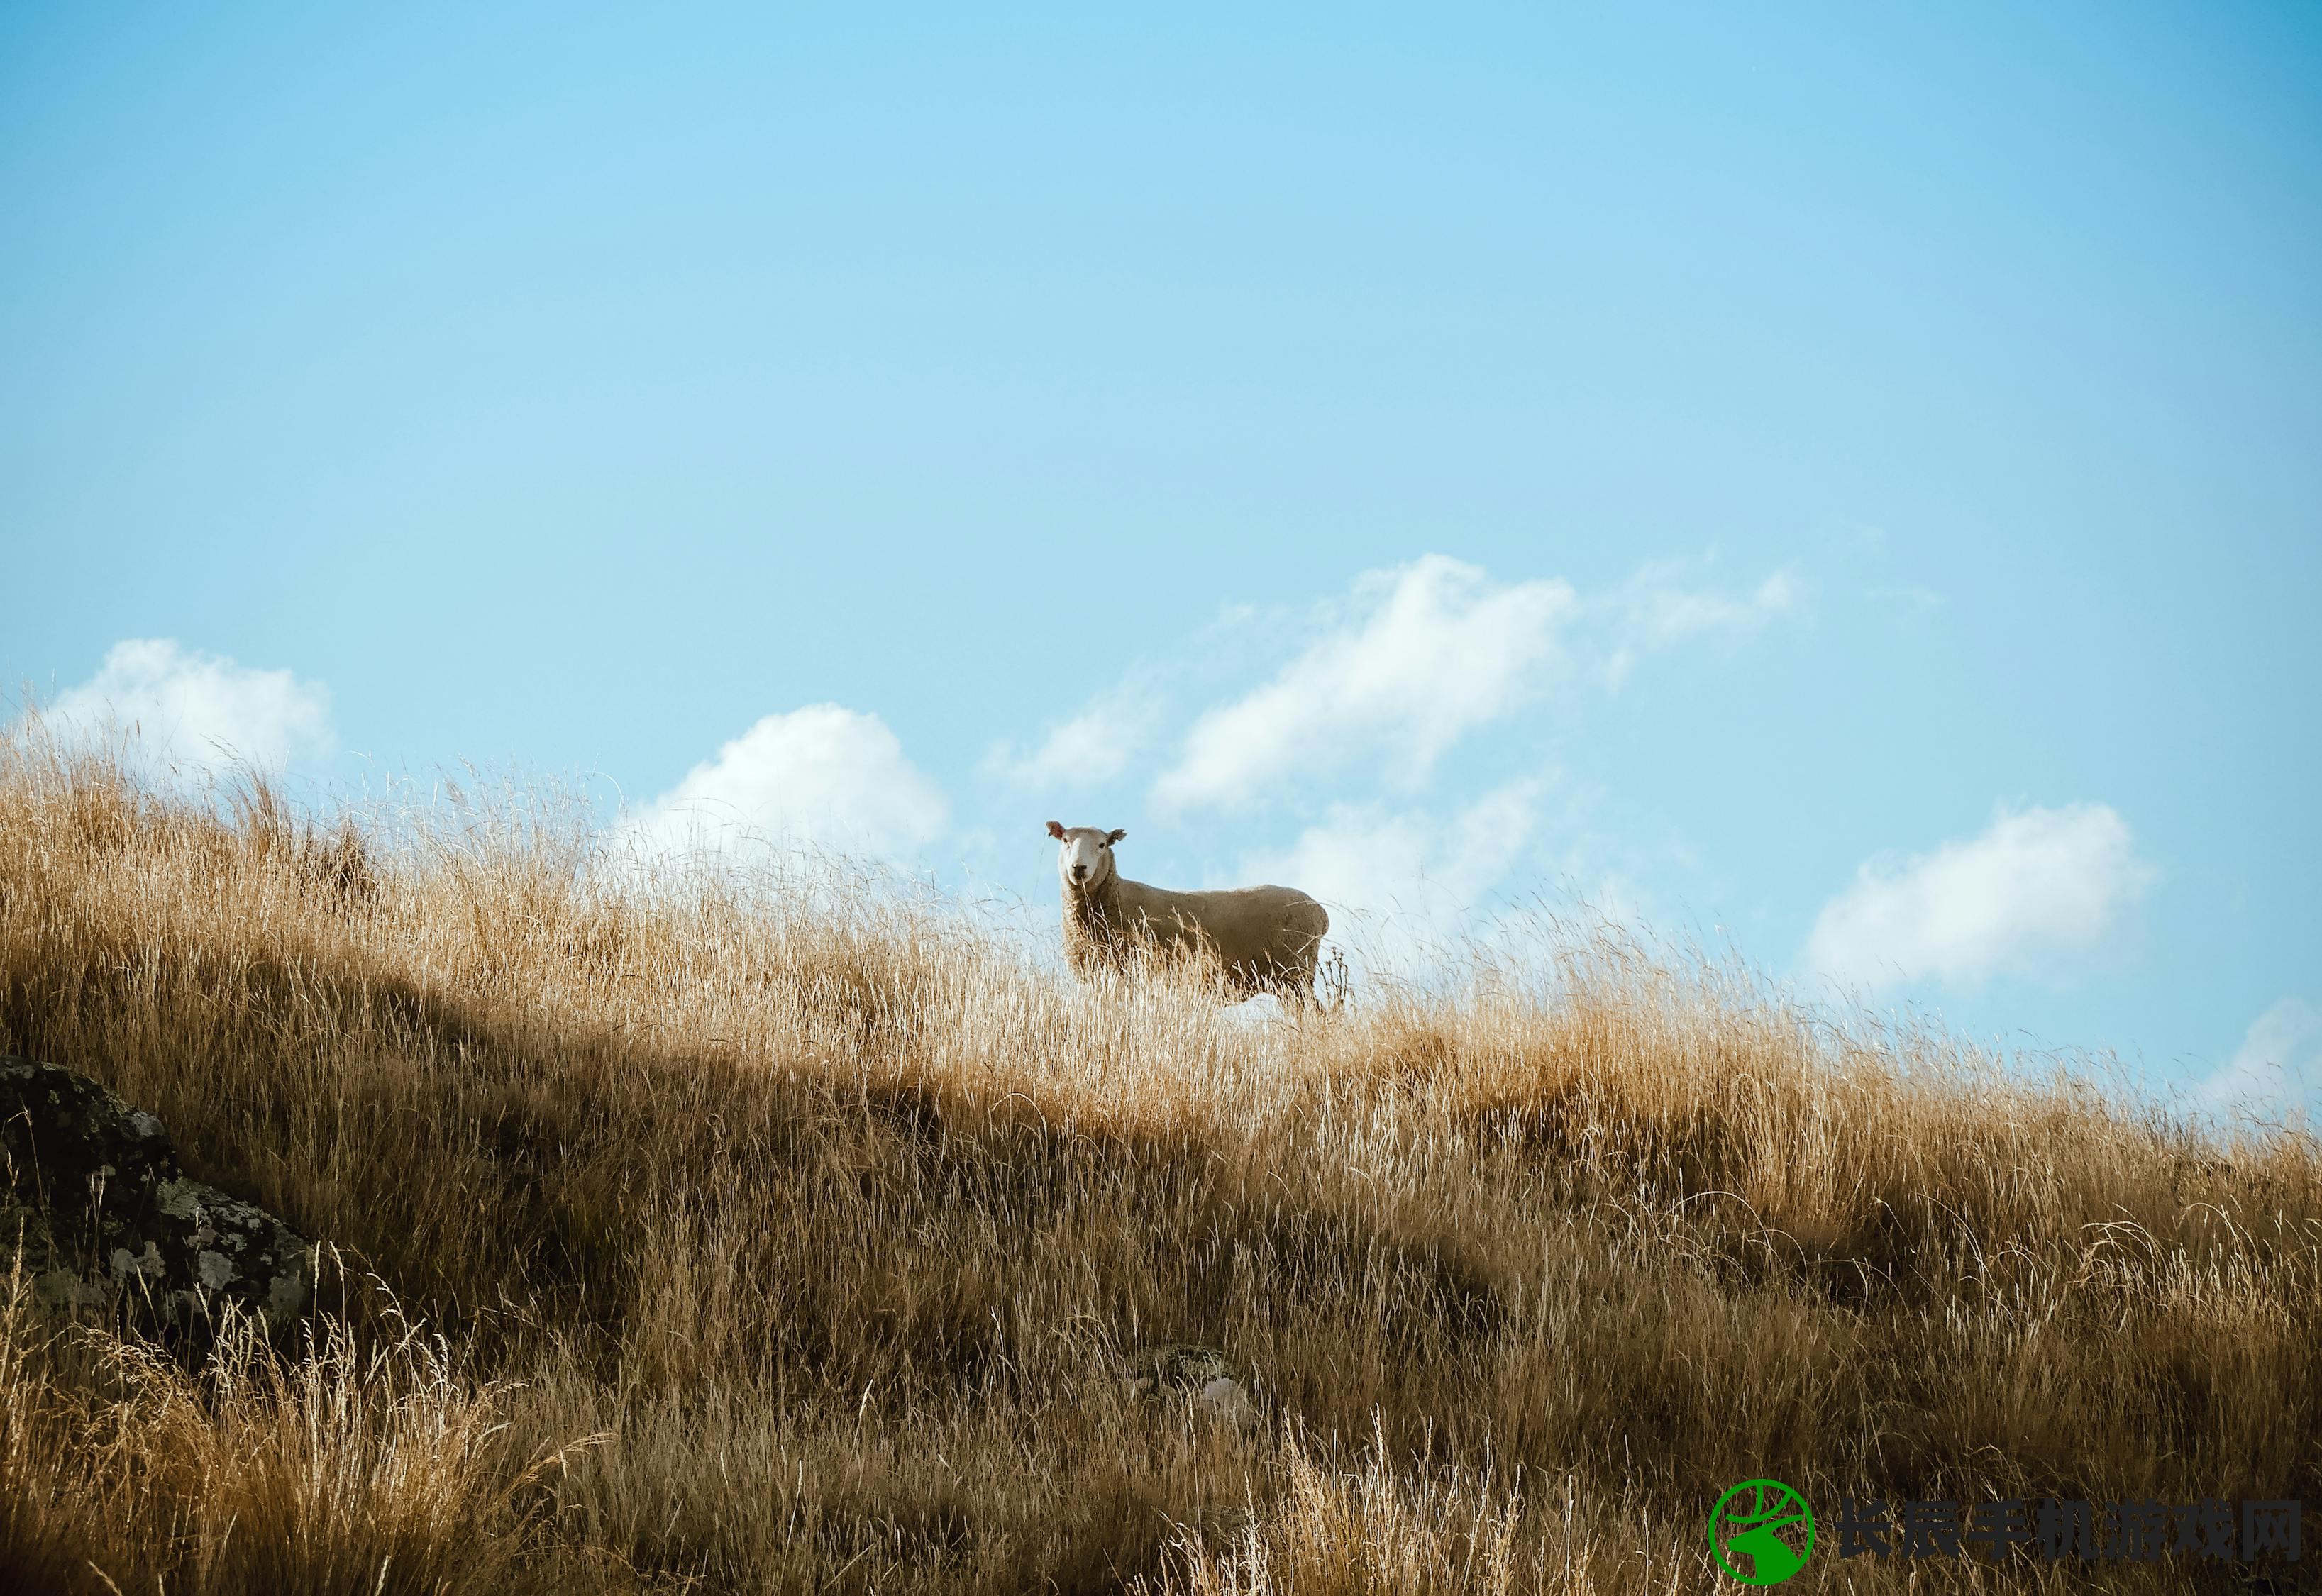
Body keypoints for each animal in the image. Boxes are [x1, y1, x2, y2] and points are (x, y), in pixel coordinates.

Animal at [1049, 817, 1337, 1003]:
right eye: (1065, 840)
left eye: (1102, 845)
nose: (1079, 868)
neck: (1116, 897)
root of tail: (1320, 913)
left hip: (1296, 973)